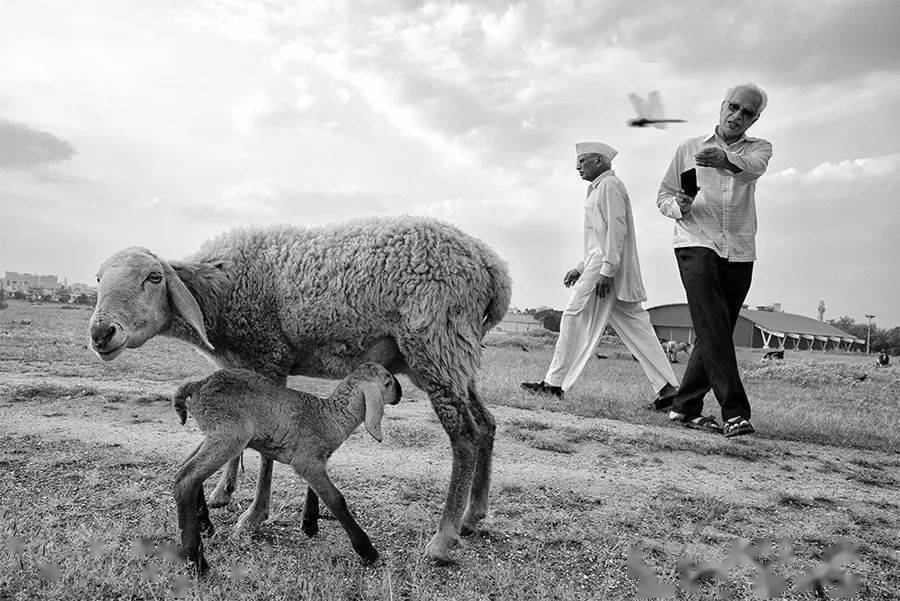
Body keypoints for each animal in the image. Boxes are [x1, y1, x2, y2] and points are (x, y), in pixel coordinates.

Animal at [171, 358, 400, 576]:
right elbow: (336, 500)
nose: (400, 392)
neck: (329, 417)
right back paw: (198, 563)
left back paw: (206, 528)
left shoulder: (318, 461)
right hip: (229, 433)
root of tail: (198, 384)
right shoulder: (307, 461)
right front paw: (368, 551)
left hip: (216, 434)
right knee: (186, 478)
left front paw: (310, 525)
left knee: (186, 469)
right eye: (387, 381)